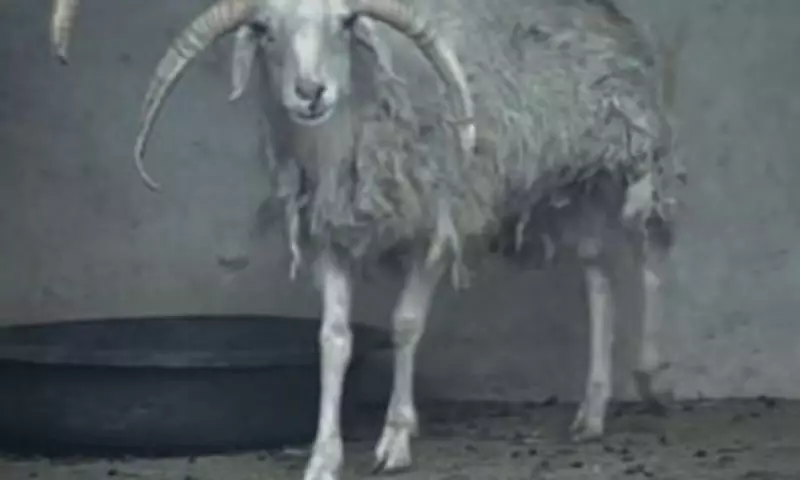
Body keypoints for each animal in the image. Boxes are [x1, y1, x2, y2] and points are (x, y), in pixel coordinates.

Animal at [49, 0, 687, 478]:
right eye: (264, 29)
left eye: (345, 23)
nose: (310, 91)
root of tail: (606, 13)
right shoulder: (330, 238)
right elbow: (334, 340)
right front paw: (323, 456)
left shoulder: (437, 225)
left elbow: (405, 326)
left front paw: (395, 440)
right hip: (569, 185)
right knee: (598, 274)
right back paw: (593, 410)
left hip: (632, 151)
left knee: (652, 250)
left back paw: (651, 375)